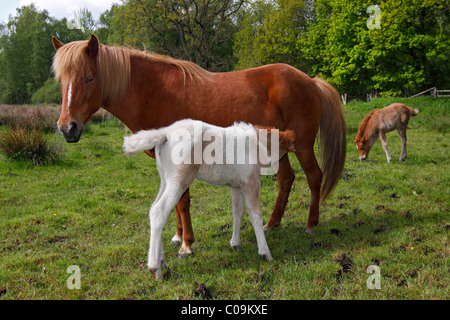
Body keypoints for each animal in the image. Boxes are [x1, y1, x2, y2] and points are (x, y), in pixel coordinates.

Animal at [123, 119, 296, 280]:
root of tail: (165, 133)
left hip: (165, 180)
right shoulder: (250, 183)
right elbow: (256, 216)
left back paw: (161, 261)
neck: (257, 144)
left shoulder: (235, 186)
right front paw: (265, 253)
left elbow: (238, 212)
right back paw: (155, 269)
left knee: (153, 208)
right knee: (159, 211)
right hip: (179, 181)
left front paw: (235, 244)